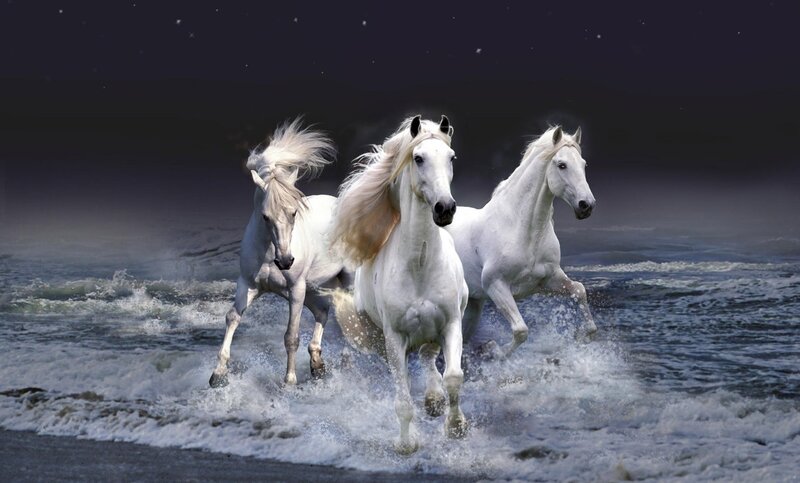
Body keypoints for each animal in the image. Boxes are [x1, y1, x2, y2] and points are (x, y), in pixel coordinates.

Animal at [209, 118, 352, 388]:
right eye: (265, 216)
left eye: (294, 212)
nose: (285, 261)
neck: (268, 253)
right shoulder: (249, 284)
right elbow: (232, 317)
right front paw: (218, 374)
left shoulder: (295, 289)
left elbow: (291, 336)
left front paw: (289, 382)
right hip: (314, 287)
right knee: (323, 312)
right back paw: (317, 364)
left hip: (343, 282)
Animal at [329, 115, 469, 454]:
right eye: (418, 158)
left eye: (451, 157)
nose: (445, 208)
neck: (419, 265)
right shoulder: (394, 338)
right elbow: (403, 400)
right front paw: (407, 444)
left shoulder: (451, 323)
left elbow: (454, 376)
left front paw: (456, 427)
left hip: (433, 331)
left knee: (429, 357)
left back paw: (434, 400)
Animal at [445, 126, 597, 359]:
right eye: (562, 165)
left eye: (583, 164)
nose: (586, 205)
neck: (523, 231)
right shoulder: (495, 285)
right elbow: (521, 330)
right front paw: (494, 350)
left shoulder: (547, 281)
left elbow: (579, 290)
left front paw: (583, 335)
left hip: (473, 304)